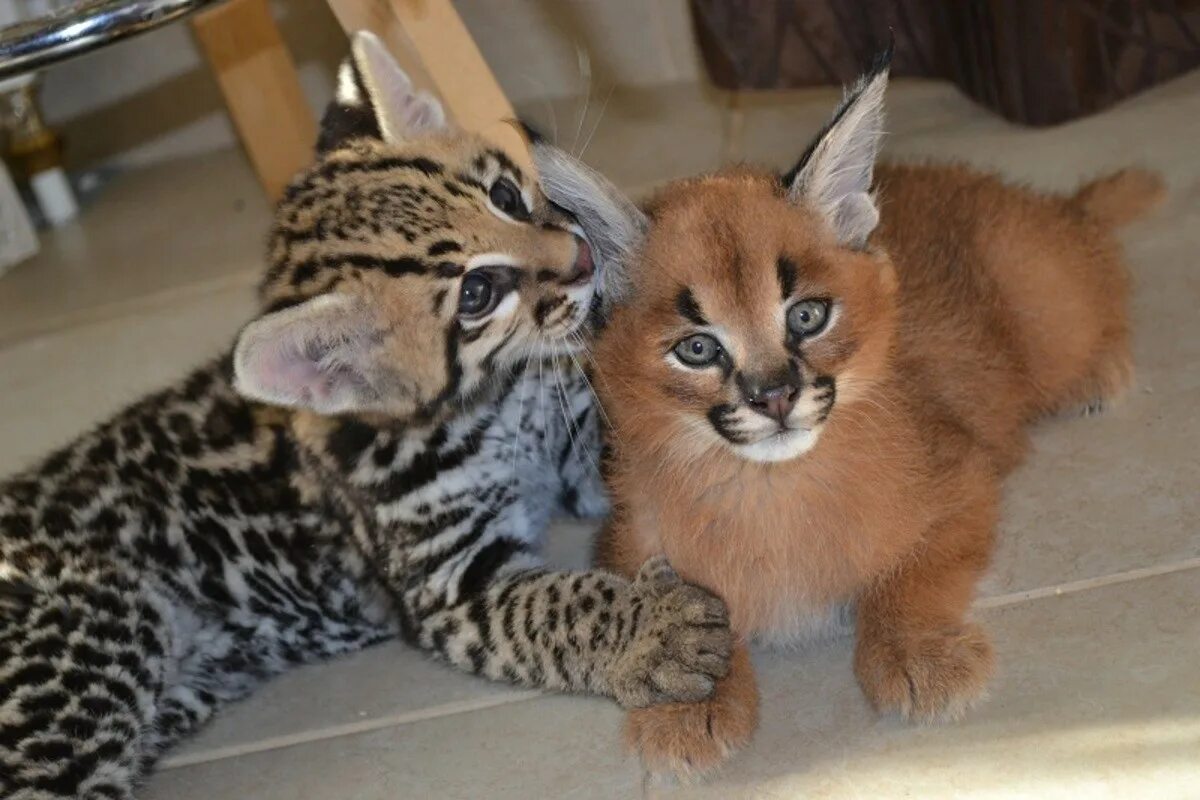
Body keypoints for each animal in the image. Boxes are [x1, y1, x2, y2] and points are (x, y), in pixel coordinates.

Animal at [2, 32, 729, 800]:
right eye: (476, 293)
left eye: (505, 194)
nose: (585, 255)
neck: (497, 404)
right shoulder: (451, 583)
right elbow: (555, 607)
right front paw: (654, 632)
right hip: (95, 628)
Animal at [535, 51, 1161, 777]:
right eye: (697, 349)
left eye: (807, 315)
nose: (774, 396)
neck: (770, 487)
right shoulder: (624, 540)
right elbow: (674, 602)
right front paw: (686, 696)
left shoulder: (962, 477)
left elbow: (912, 574)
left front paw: (915, 653)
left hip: (1039, 292)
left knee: (1095, 268)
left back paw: (1098, 367)